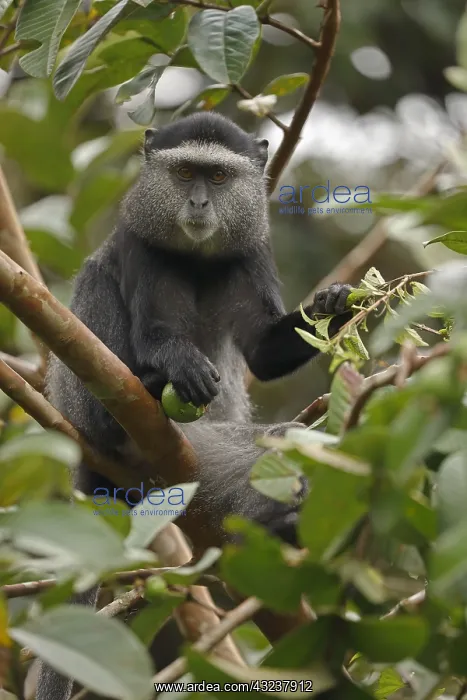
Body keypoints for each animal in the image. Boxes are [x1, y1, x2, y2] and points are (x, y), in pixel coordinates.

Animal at [37, 112, 351, 700]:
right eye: (185, 173)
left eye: (220, 178)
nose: (200, 203)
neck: (199, 257)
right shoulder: (140, 246)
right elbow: (157, 332)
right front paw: (174, 363)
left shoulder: (253, 253)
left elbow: (263, 352)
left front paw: (334, 305)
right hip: (80, 395)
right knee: (95, 284)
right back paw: (138, 395)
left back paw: (280, 525)